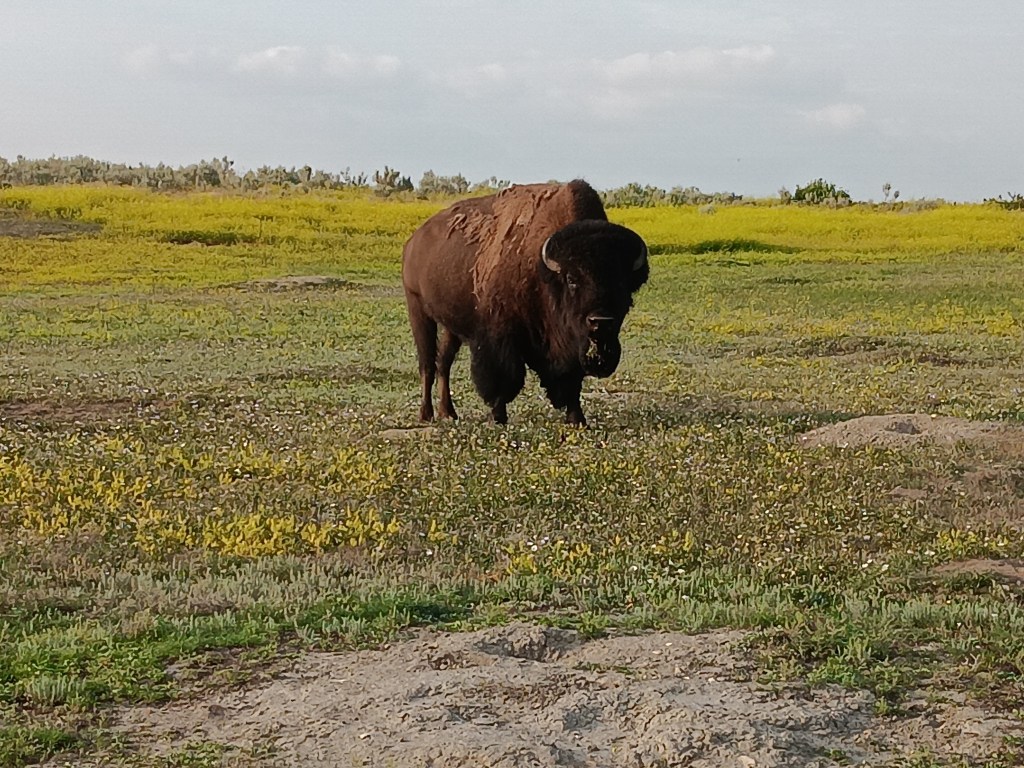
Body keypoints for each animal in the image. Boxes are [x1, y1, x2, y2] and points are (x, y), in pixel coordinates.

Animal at [401, 179, 648, 425]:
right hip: (418, 310)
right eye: (572, 279)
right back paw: (426, 414)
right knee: (427, 364)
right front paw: (498, 417)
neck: (543, 272)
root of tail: (414, 242)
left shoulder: (570, 345)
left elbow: (571, 379)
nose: (601, 321)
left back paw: (448, 412)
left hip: (450, 326)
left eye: (622, 283)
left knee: (444, 362)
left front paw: (577, 419)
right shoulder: (499, 337)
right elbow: (504, 378)